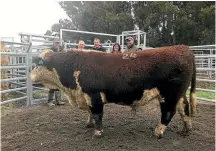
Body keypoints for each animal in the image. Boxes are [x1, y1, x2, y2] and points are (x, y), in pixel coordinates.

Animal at [30, 45, 197, 139]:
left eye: (36, 65)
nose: (30, 77)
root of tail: (183, 48)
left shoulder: (94, 95)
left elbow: (97, 114)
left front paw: (98, 132)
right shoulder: (85, 96)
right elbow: (90, 113)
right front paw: (89, 124)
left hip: (169, 94)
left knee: (168, 112)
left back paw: (159, 132)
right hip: (179, 94)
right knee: (184, 108)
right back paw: (186, 129)